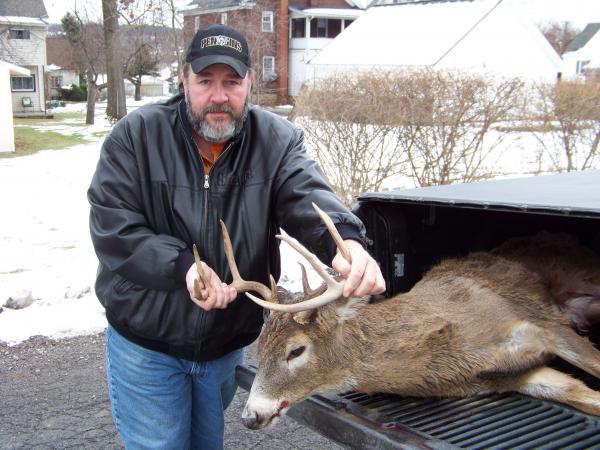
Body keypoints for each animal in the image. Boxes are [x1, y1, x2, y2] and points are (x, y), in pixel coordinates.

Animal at [195, 204, 600, 428]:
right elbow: (585, 396)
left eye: (296, 350)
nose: (251, 416)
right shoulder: (516, 375)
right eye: (260, 347)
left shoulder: (546, 325)